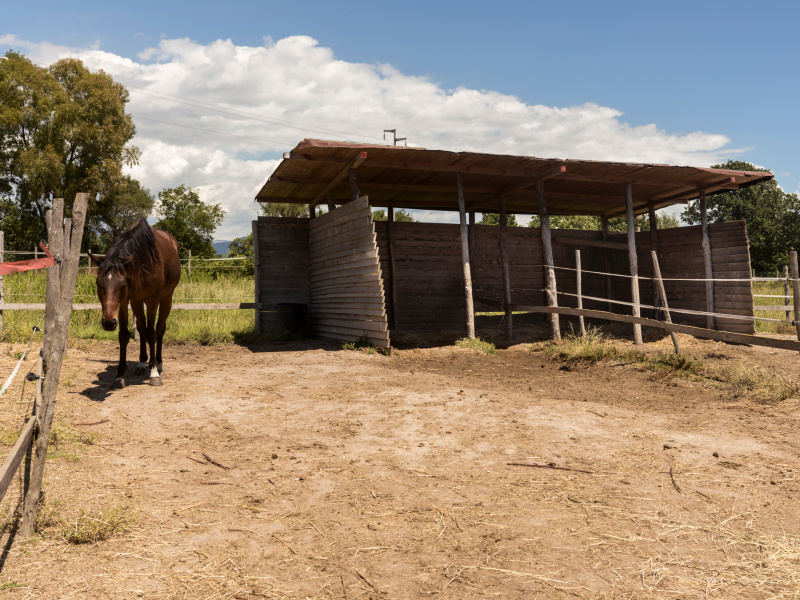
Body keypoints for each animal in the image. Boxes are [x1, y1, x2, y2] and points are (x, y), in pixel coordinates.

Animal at [89, 218, 181, 386]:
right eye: (99, 284)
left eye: (122, 284)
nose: (108, 323)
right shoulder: (126, 301)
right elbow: (125, 335)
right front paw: (119, 375)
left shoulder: (152, 300)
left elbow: (151, 333)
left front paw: (154, 373)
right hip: (137, 301)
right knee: (142, 328)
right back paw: (142, 363)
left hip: (166, 298)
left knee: (159, 329)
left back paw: (158, 365)